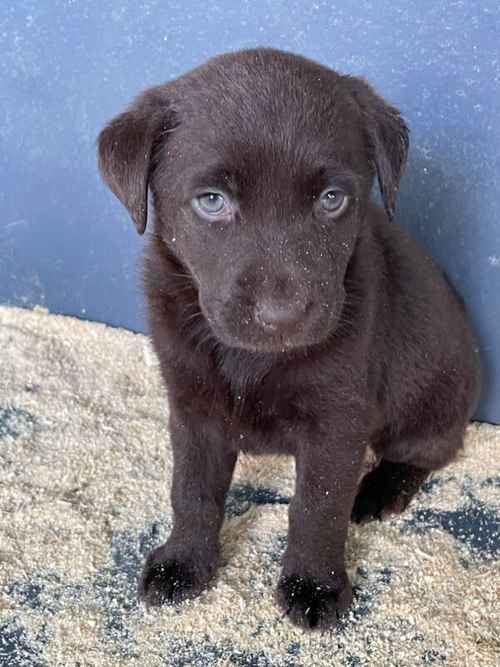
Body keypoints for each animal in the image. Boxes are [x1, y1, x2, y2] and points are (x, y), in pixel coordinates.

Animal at [98, 49, 480, 628]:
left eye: (332, 200)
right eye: (212, 201)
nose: (282, 317)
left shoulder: (337, 420)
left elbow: (318, 505)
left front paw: (314, 585)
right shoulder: (191, 405)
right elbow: (191, 490)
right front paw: (184, 562)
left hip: (435, 393)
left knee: (428, 450)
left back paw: (379, 490)